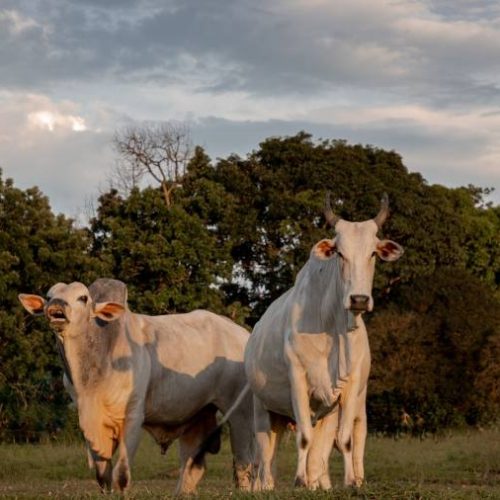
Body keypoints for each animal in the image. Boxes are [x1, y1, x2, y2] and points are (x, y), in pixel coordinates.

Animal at [19, 280, 254, 494]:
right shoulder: (88, 421)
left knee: (243, 460)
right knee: (191, 464)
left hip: (240, 413)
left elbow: (121, 475)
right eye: (49, 296)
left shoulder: (132, 416)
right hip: (198, 416)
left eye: (83, 298)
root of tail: (243, 334)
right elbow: (103, 475)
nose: (56, 305)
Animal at [244, 193, 404, 490]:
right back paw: (265, 485)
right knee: (265, 455)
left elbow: (344, 440)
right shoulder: (297, 379)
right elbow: (303, 437)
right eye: (340, 253)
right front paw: (298, 480)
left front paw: (350, 481)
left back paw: (316, 481)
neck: (333, 328)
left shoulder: (348, 387)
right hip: (262, 407)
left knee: (319, 448)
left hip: (322, 409)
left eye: (373, 253)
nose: (359, 299)